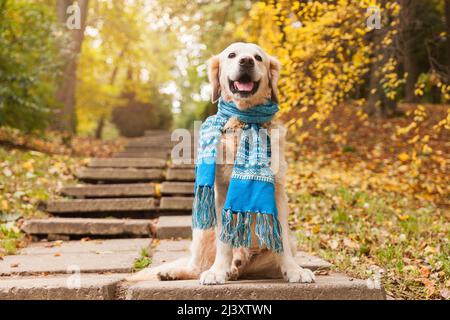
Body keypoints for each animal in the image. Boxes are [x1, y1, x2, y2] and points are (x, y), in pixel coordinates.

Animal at [128, 42, 314, 284]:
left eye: (258, 57)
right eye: (232, 55)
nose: (246, 61)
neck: (243, 121)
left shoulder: (278, 193)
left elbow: (280, 238)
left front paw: (294, 270)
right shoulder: (221, 192)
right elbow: (224, 241)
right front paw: (217, 271)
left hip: (286, 243)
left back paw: (237, 266)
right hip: (200, 231)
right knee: (197, 265)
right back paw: (180, 271)